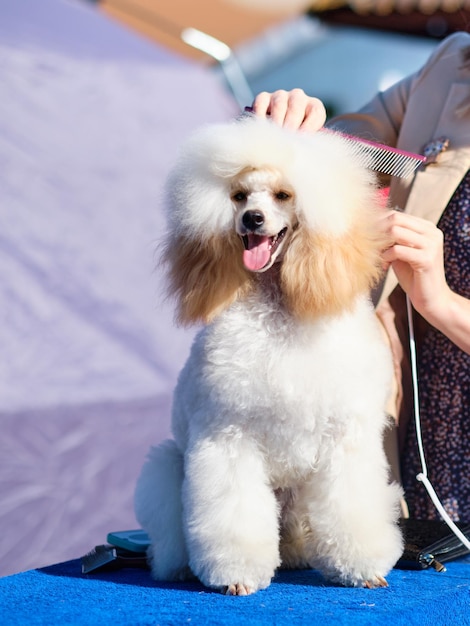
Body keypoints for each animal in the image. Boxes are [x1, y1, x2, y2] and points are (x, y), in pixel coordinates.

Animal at [134, 116, 402, 596]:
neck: (281, 312)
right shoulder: (228, 438)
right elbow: (233, 511)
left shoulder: (345, 438)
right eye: (239, 196)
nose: (251, 219)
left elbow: (350, 506)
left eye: (283, 195)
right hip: (169, 464)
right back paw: (177, 566)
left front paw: (361, 567)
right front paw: (236, 574)